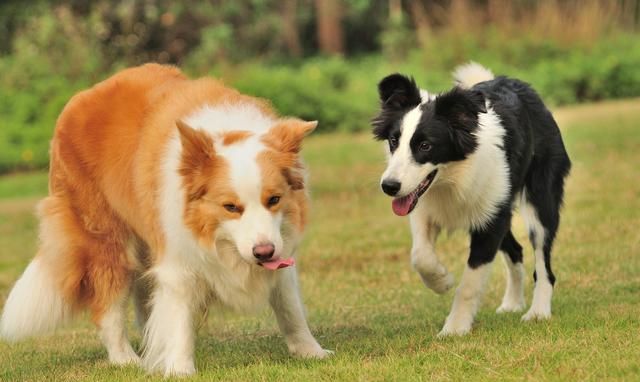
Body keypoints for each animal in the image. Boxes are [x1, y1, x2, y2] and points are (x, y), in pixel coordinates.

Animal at [0, 64, 330, 374]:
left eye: (274, 200)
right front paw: (179, 369)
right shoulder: (176, 251)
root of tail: (82, 95)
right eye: (230, 207)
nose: (264, 252)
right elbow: (179, 310)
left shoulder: (282, 245)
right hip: (106, 241)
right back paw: (125, 359)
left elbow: (289, 305)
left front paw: (310, 351)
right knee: (109, 306)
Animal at [372, 64, 572, 336]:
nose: (389, 187)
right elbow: (420, 256)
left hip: (538, 197)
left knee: (542, 257)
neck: (452, 178)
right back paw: (513, 303)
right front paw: (442, 281)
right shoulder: (425, 208)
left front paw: (455, 328)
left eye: (425, 145)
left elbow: (470, 282)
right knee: (516, 250)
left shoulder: (490, 222)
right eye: (394, 141)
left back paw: (538, 311)